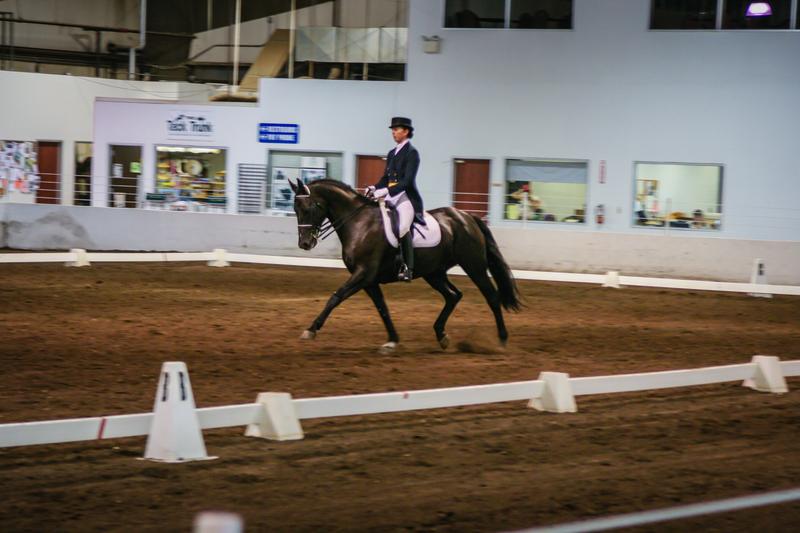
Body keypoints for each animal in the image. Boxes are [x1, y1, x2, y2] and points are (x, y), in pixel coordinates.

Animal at [290, 179, 520, 354]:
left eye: (309, 208)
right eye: (295, 209)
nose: (305, 244)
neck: (359, 223)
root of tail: (466, 217)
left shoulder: (363, 274)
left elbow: (336, 297)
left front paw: (311, 330)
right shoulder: (369, 280)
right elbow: (382, 308)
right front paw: (392, 340)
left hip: (474, 266)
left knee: (492, 297)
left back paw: (502, 340)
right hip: (434, 273)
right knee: (453, 295)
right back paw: (441, 335)